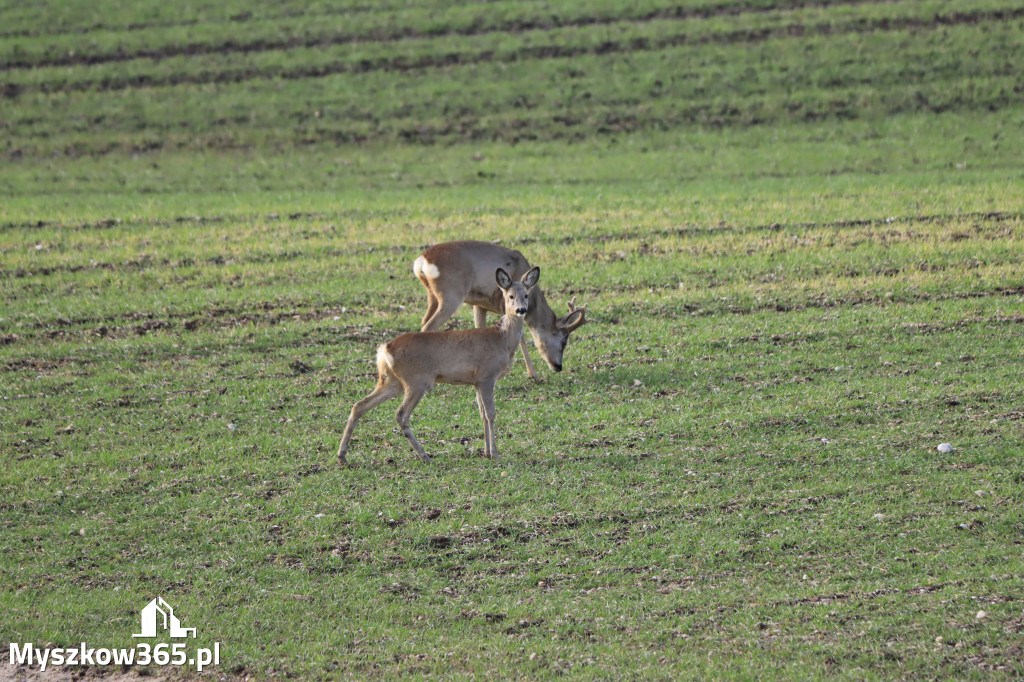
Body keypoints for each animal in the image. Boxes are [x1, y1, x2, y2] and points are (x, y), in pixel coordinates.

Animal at [337, 264, 544, 462]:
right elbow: (490, 414)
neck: (502, 339)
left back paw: (342, 456)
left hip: (392, 381)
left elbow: (482, 415)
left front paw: (486, 452)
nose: (521, 310)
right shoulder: (487, 375)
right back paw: (425, 456)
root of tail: (384, 350)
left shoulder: (476, 381)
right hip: (416, 380)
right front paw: (494, 454)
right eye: (510, 296)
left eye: (526, 295)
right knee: (400, 415)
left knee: (360, 405)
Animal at [409, 238, 585, 376]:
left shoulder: (479, 305)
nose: (558, 367)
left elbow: (479, 328)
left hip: (432, 296)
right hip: (451, 295)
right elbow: (521, 336)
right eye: (563, 342)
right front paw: (534, 375)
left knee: (423, 322)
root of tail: (422, 261)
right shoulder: (507, 306)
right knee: (428, 326)